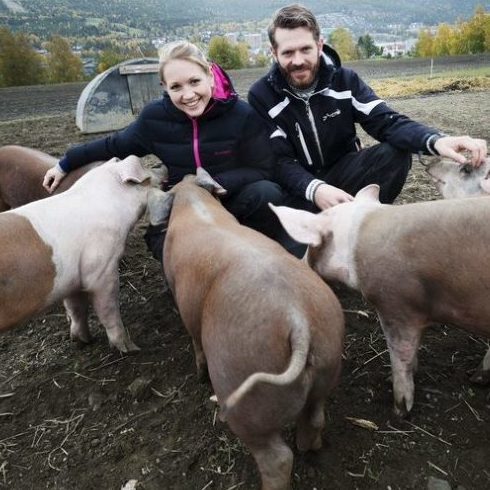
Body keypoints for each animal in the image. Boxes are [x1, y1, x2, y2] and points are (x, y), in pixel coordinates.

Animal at [0, 157, 168, 352]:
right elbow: (108, 309)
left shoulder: (71, 279)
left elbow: (76, 308)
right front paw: (131, 348)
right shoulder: (101, 270)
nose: (161, 163)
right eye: (148, 168)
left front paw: (83, 340)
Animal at [159, 169, 342, 490]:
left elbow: (194, 341)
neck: (192, 200)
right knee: (315, 418)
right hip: (328, 359)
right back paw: (311, 448)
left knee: (276, 458)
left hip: (241, 384)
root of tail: (296, 317)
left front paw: (198, 376)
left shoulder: (185, 307)